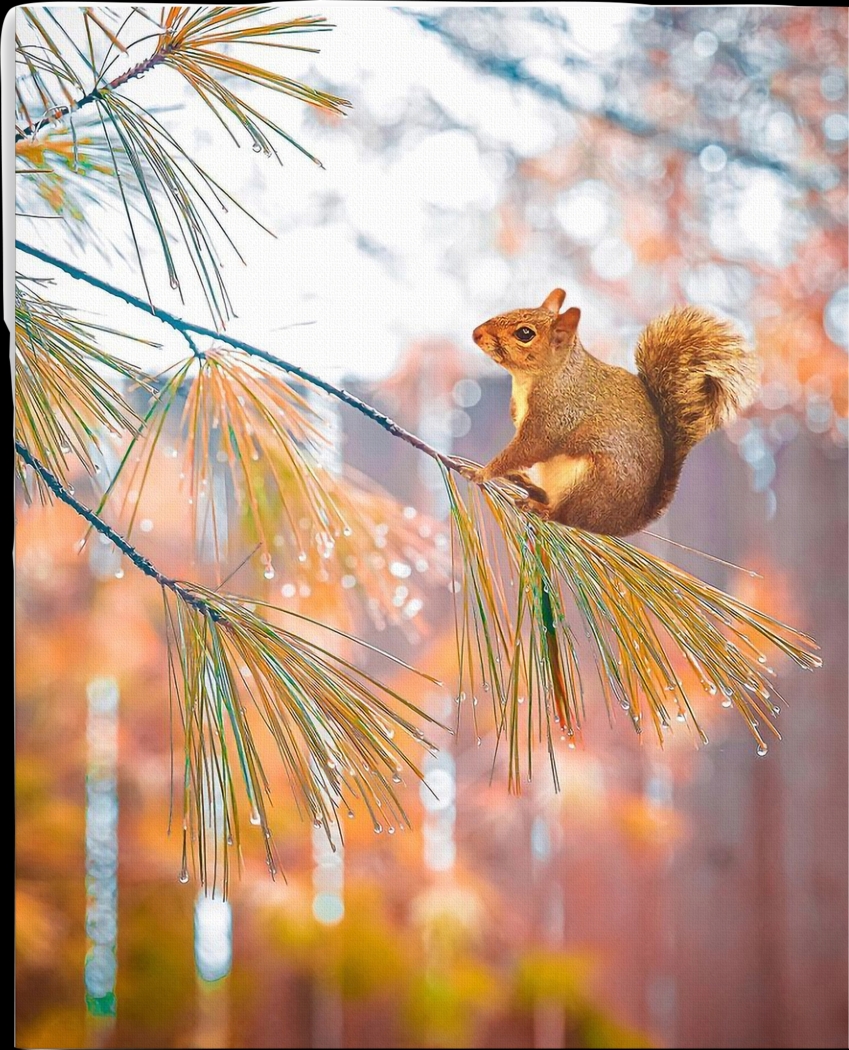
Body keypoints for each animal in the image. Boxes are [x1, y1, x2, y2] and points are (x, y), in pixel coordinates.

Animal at [470, 288, 758, 536]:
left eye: (525, 334)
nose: (476, 333)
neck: (546, 376)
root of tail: (625, 522)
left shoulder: (556, 415)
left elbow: (528, 449)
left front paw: (482, 473)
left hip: (594, 483)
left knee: (569, 516)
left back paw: (541, 507)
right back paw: (529, 486)